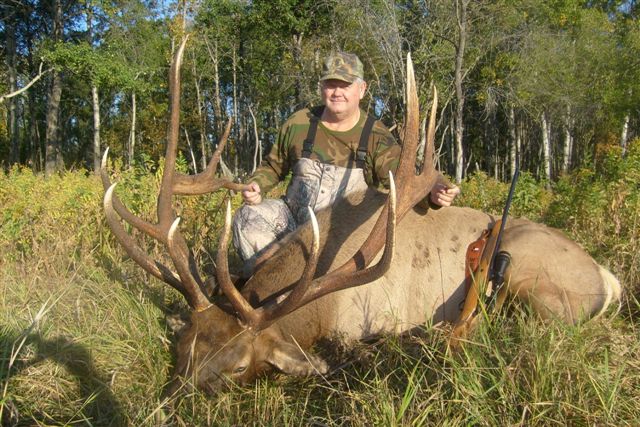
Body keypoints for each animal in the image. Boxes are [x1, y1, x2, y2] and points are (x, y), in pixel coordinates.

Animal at [101, 38, 621, 394]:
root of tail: (607, 278)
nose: (168, 401)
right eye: (182, 349)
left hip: (531, 275)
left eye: (236, 367)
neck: (319, 310)